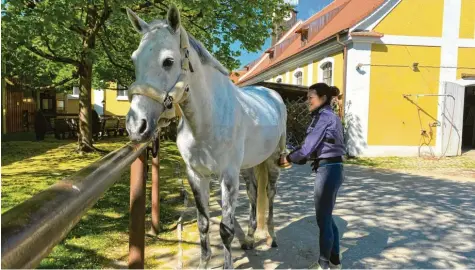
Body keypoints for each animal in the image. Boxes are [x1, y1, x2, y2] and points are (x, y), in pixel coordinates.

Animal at [125, 4, 290, 268]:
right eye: (134, 59)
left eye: (168, 61)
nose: (136, 126)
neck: (207, 121)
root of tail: (271, 94)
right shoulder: (196, 175)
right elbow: (203, 223)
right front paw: (203, 262)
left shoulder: (228, 177)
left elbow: (226, 229)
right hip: (248, 165)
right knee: (253, 192)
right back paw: (250, 238)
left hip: (273, 160)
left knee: (270, 194)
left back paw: (271, 237)